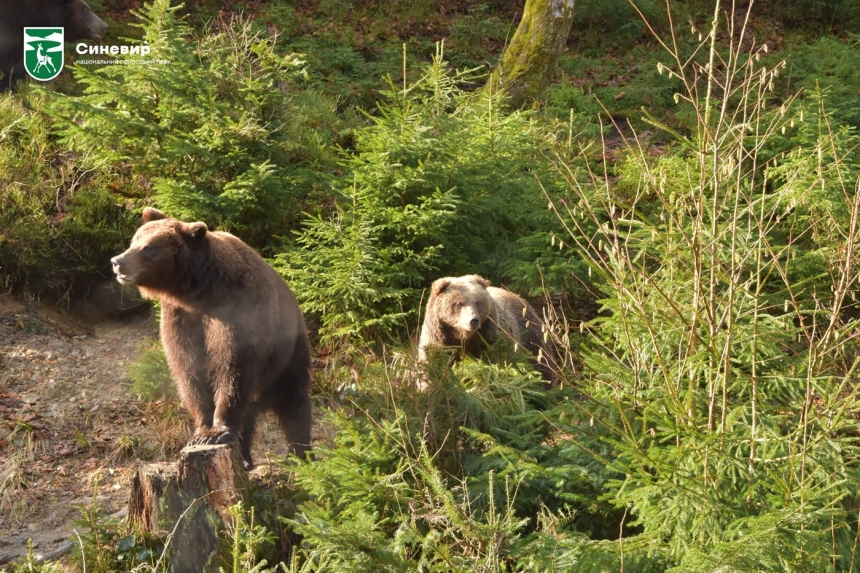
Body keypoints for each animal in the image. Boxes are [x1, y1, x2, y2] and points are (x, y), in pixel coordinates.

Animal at [111, 208, 312, 466]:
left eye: (148, 247)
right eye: (133, 240)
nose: (118, 261)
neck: (200, 293)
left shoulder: (236, 314)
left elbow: (232, 369)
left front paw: (216, 432)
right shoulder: (181, 319)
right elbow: (189, 371)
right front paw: (200, 432)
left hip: (287, 354)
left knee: (294, 404)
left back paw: (300, 455)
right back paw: (245, 459)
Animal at [420, 274, 560, 384]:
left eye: (478, 301)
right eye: (459, 303)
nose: (473, 320)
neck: (463, 338)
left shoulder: (492, 340)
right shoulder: (438, 342)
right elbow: (431, 366)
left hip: (531, 335)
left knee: (542, 363)